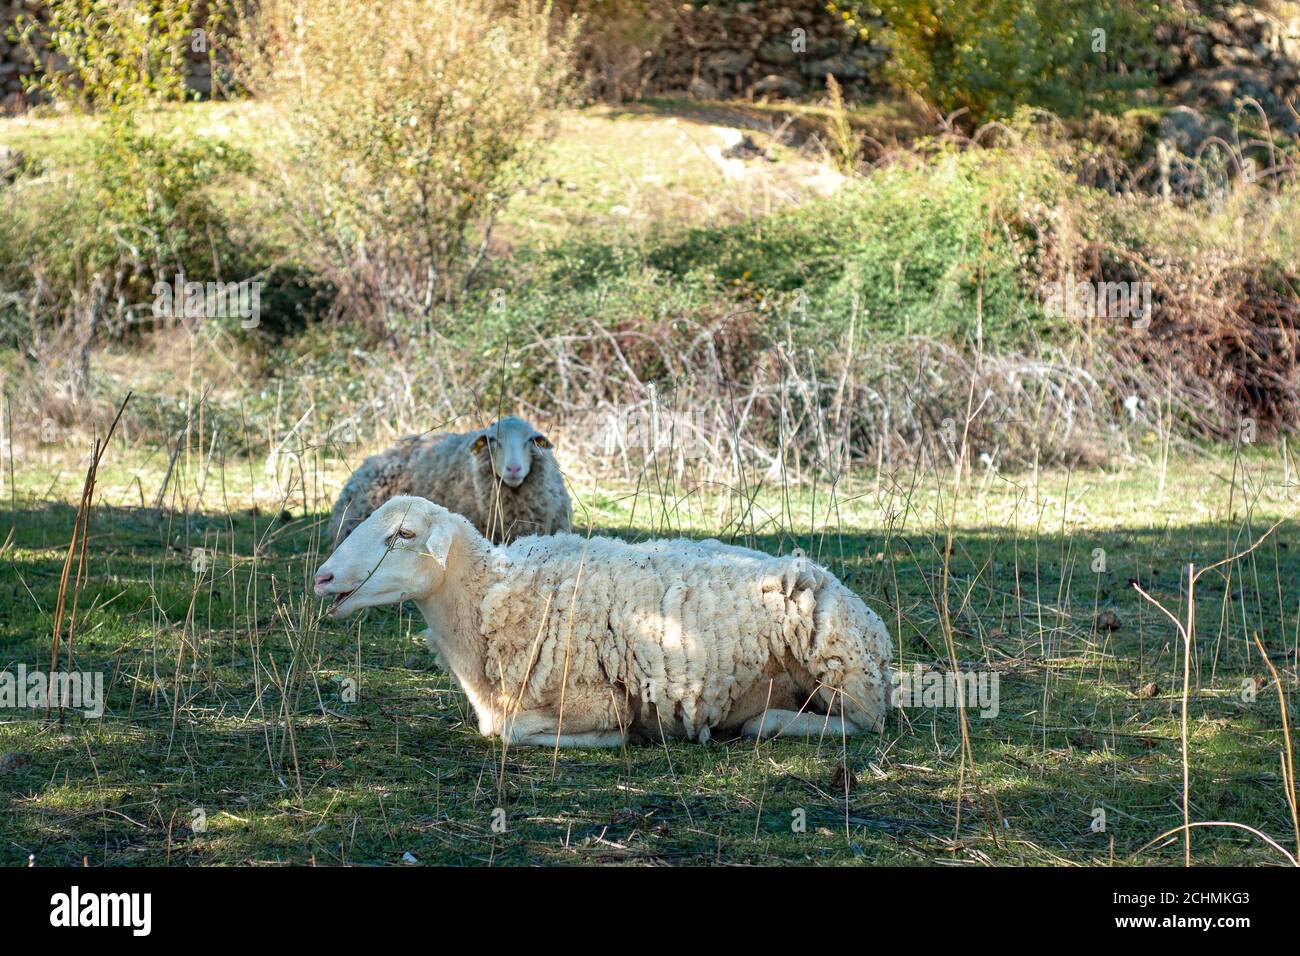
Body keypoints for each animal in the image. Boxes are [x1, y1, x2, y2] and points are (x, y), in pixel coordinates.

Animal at [312, 496, 894, 749]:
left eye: (404, 535)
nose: (323, 577)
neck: (488, 595)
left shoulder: (592, 695)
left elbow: (511, 732)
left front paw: (613, 737)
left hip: (837, 668)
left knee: (866, 723)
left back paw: (766, 722)